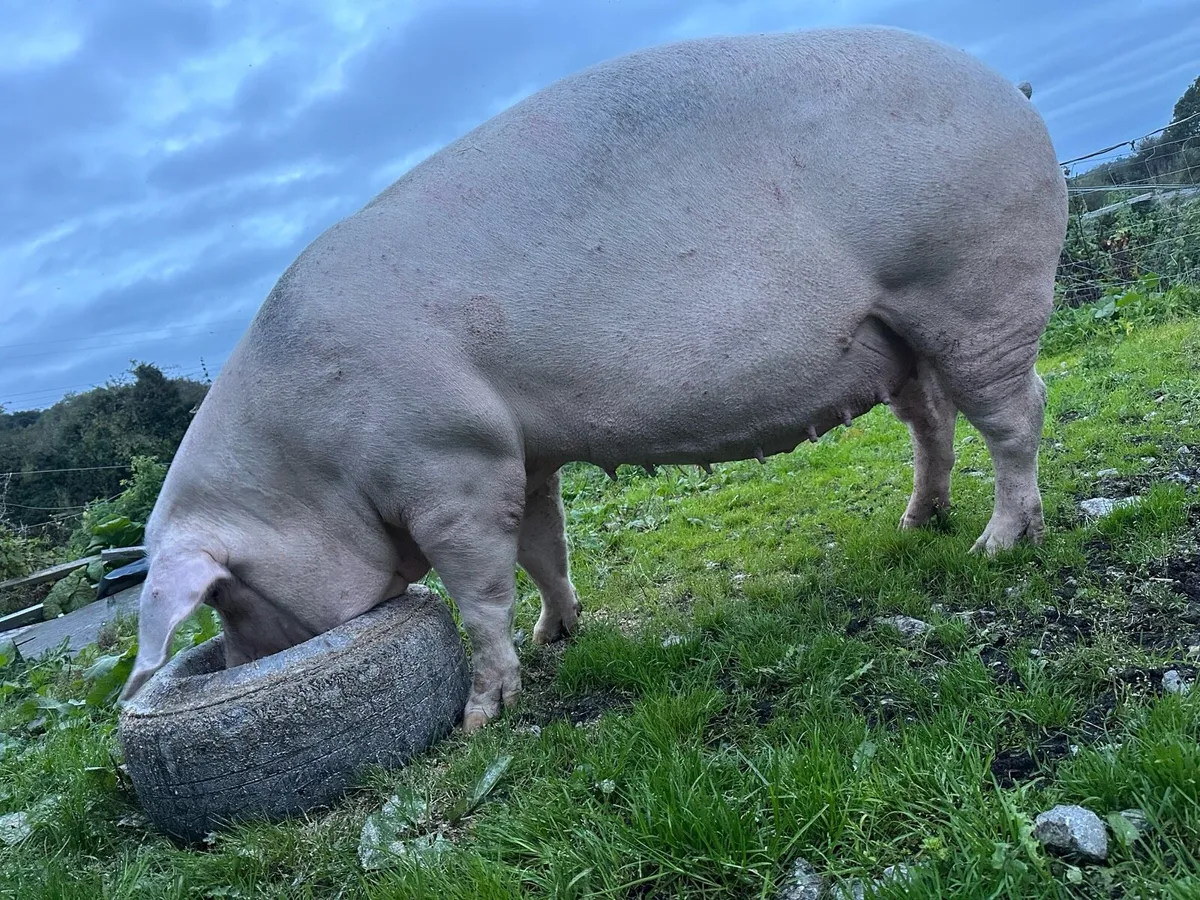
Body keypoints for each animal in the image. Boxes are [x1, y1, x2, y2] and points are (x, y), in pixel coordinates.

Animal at [120, 25, 1068, 732]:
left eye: (226, 597)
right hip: (897, 331)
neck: (311, 461)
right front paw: (558, 638)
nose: (244, 665)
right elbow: (545, 550)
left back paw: (997, 543)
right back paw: (916, 525)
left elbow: (480, 590)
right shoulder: (521, 453)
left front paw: (482, 717)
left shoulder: (452, 464)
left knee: (1016, 413)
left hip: (974, 281)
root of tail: (1010, 91)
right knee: (932, 419)